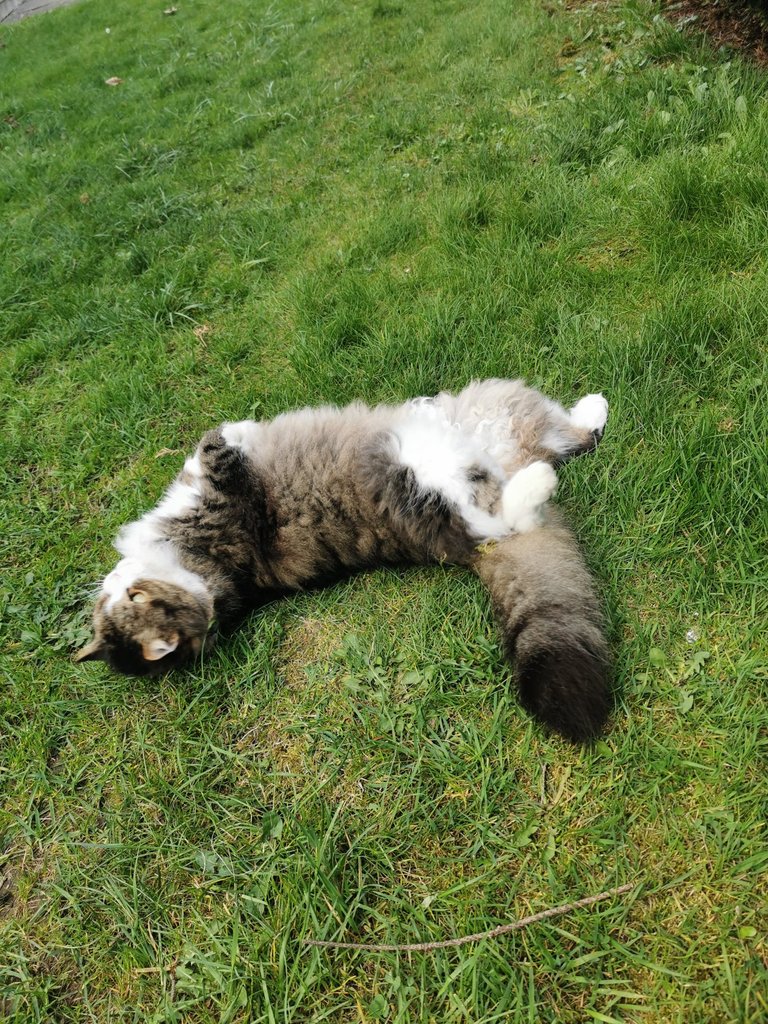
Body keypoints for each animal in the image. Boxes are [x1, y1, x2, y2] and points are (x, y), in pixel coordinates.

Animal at [76, 378, 611, 742]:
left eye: (129, 596)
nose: (117, 582)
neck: (209, 574)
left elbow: (211, 447)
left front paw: (235, 431)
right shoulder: (229, 504)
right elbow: (215, 451)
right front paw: (226, 437)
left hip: (500, 405)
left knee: (574, 432)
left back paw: (589, 407)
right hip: (441, 502)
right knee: (507, 517)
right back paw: (538, 480)